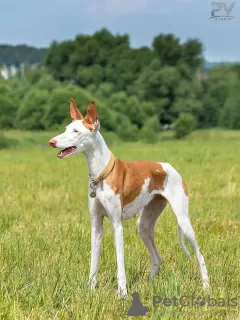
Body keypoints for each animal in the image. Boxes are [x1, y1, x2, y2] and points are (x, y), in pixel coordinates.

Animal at [49, 99, 210, 296]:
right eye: (66, 128)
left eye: (76, 131)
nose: (51, 142)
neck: (102, 173)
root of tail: (168, 166)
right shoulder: (96, 226)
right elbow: (93, 262)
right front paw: (90, 290)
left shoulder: (117, 225)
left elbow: (120, 264)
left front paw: (123, 294)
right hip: (144, 225)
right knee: (157, 257)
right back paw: (150, 285)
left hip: (184, 222)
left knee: (200, 255)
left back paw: (206, 287)